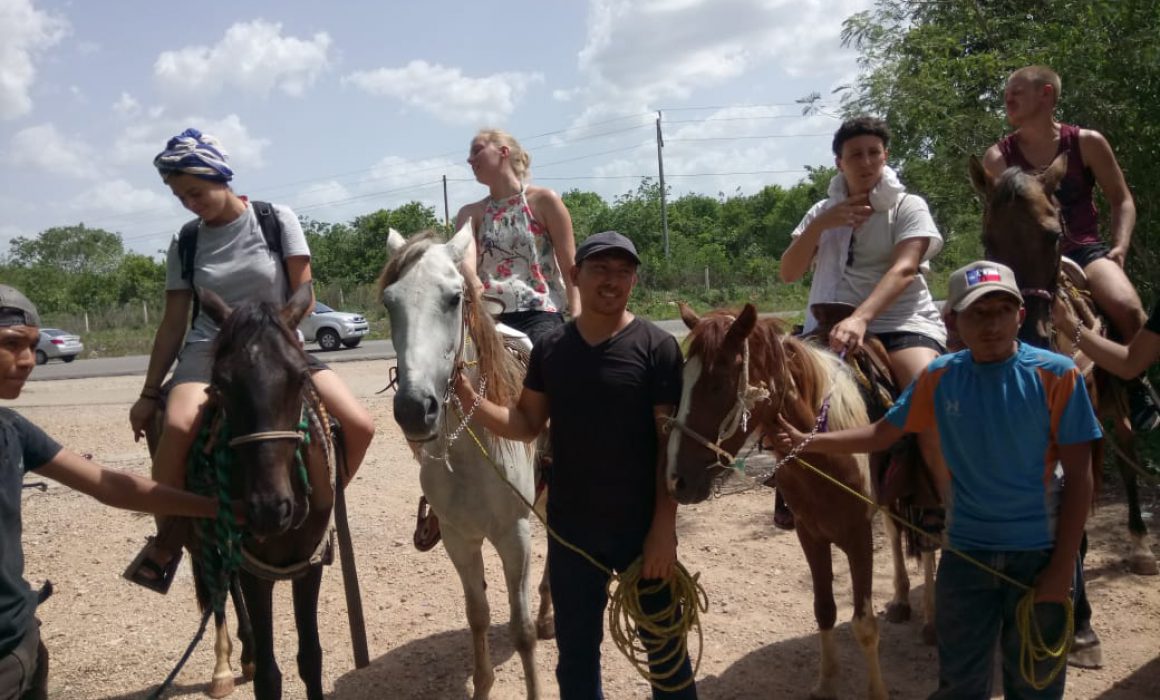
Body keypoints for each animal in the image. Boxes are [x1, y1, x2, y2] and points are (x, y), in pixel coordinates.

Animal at [375, 224, 547, 700]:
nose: (415, 409)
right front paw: (482, 684)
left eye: (454, 298)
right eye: (389, 301)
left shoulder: (514, 536)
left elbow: (521, 630)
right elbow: (478, 614)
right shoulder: (458, 538)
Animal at [663, 306, 886, 700]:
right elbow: (824, 609)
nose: (677, 480)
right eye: (683, 381)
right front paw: (826, 683)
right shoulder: (810, 535)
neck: (830, 450)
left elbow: (864, 624)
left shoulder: (860, 538)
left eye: (718, 385)